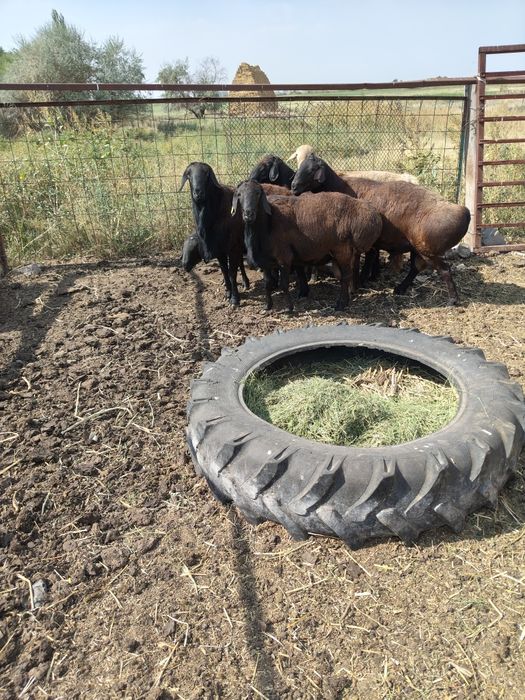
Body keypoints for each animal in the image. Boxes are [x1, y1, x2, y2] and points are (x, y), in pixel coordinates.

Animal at [180, 162, 245, 306]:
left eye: (206, 174)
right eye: (189, 175)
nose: (198, 193)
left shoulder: (232, 247)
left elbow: (232, 272)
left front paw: (234, 299)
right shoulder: (220, 249)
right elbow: (224, 271)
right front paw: (228, 292)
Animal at [231, 180, 382, 311]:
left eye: (258, 193)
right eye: (239, 194)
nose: (248, 214)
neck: (268, 223)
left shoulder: (284, 258)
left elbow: (284, 285)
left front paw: (289, 308)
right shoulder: (266, 262)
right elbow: (267, 285)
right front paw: (267, 307)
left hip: (342, 251)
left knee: (345, 277)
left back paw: (340, 305)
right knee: (344, 276)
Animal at [291, 154, 470, 305]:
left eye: (312, 170)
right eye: (299, 168)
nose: (293, 187)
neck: (339, 186)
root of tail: (463, 212)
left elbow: (358, 264)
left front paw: (356, 286)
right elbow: (370, 258)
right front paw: (365, 280)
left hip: (428, 250)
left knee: (444, 270)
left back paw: (452, 300)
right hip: (418, 248)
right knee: (416, 268)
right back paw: (400, 288)